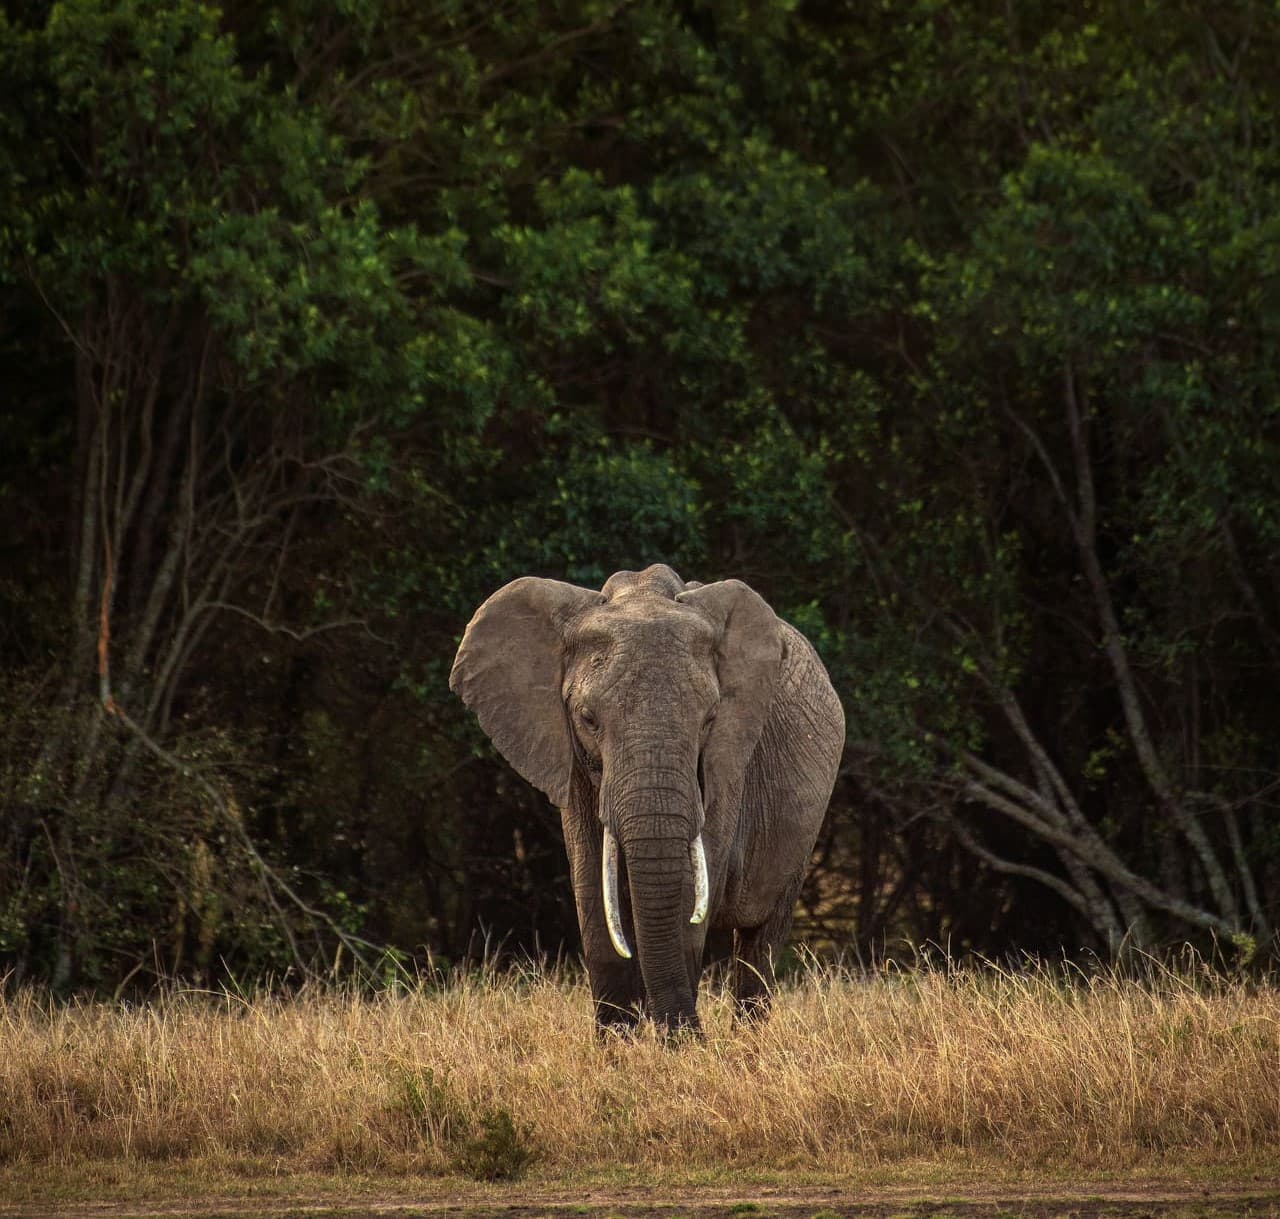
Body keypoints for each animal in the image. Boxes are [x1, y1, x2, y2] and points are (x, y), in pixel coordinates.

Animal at [449, 563, 844, 1034]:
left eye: (710, 719)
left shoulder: (726, 766)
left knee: (761, 940)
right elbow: (591, 889)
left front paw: (674, 1046)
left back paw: (748, 1039)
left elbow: (689, 892)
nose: (692, 1036)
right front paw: (619, 1046)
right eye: (587, 719)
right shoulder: (572, 762)